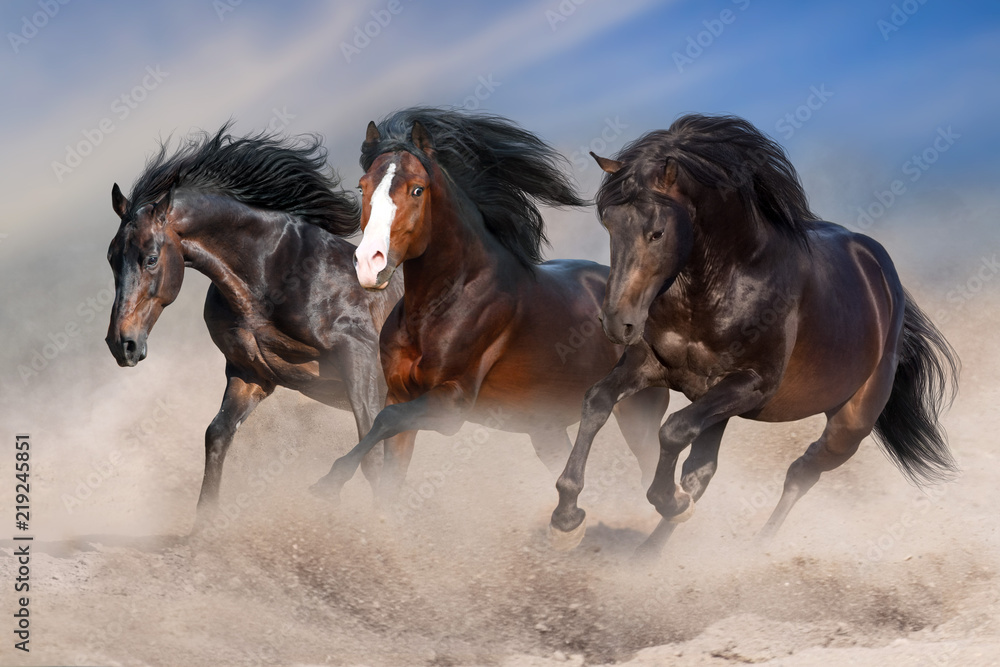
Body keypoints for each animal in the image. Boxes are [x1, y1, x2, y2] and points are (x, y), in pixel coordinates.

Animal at [105, 124, 403, 529]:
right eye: (110, 257)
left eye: (150, 258)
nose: (122, 344)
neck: (271, 273)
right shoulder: (250, 374)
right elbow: (216, 436)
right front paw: (204, 529)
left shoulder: (359, 358)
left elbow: (372, 450)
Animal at [311, 108, 670, 518]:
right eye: (361, 187)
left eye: (417, 189)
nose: (370, 265)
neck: (440, 305)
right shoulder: (401, 395)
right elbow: (388, 471)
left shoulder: (452, 403)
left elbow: (383, 422)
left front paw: (328, 482)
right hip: (545, 428)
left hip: (639, 415)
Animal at [548, 114, 959, 556]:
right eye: (608, 223)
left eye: (656, 232)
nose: (617, 322)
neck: (721, 285)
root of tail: (883, 276)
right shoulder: (652, 366)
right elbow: (597, 402)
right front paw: (566, 518)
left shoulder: (753, 385)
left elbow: (672, 431)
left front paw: (671, 501)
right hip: (719, 406)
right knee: (703, 471)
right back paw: (649, 553)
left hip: (849, 423)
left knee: (802, 471)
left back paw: (756, 547)